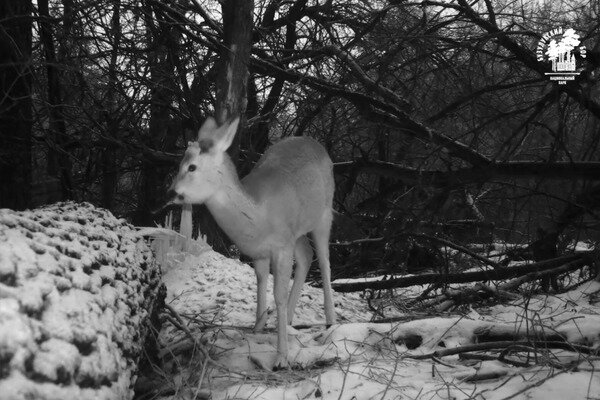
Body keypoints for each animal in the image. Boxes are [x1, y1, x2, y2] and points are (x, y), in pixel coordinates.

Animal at [169, 116, 336, 368]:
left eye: (192, 166)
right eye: (180, 163)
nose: (171, 193)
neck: (259, 215)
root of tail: (318, 146)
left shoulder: (282, 246)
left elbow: (278, 294)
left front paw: (281, 357)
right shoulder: (260, 251)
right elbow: (260, 282)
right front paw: (257, 328)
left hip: (324, 214)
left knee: (324, 260)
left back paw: (330, 320)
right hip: (297, 232)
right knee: (307, 256)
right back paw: (288, 319)